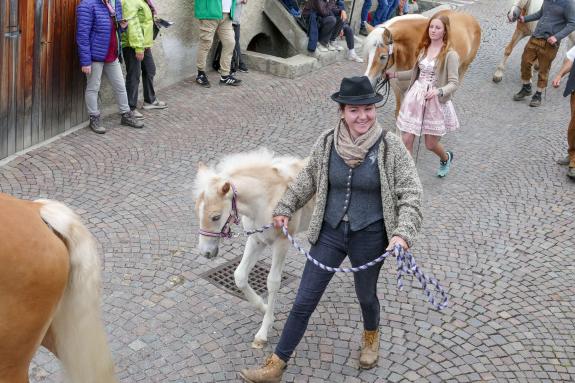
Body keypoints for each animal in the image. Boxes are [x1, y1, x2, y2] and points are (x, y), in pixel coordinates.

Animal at [195, 150, 316, 352]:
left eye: (216, 217)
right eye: (197, 212)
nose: (206, 253)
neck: (267, 199)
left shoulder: (282, 242)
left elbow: (273, 282)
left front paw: (263, 333)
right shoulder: (256, 240)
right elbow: (240, 276)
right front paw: (265, 309)